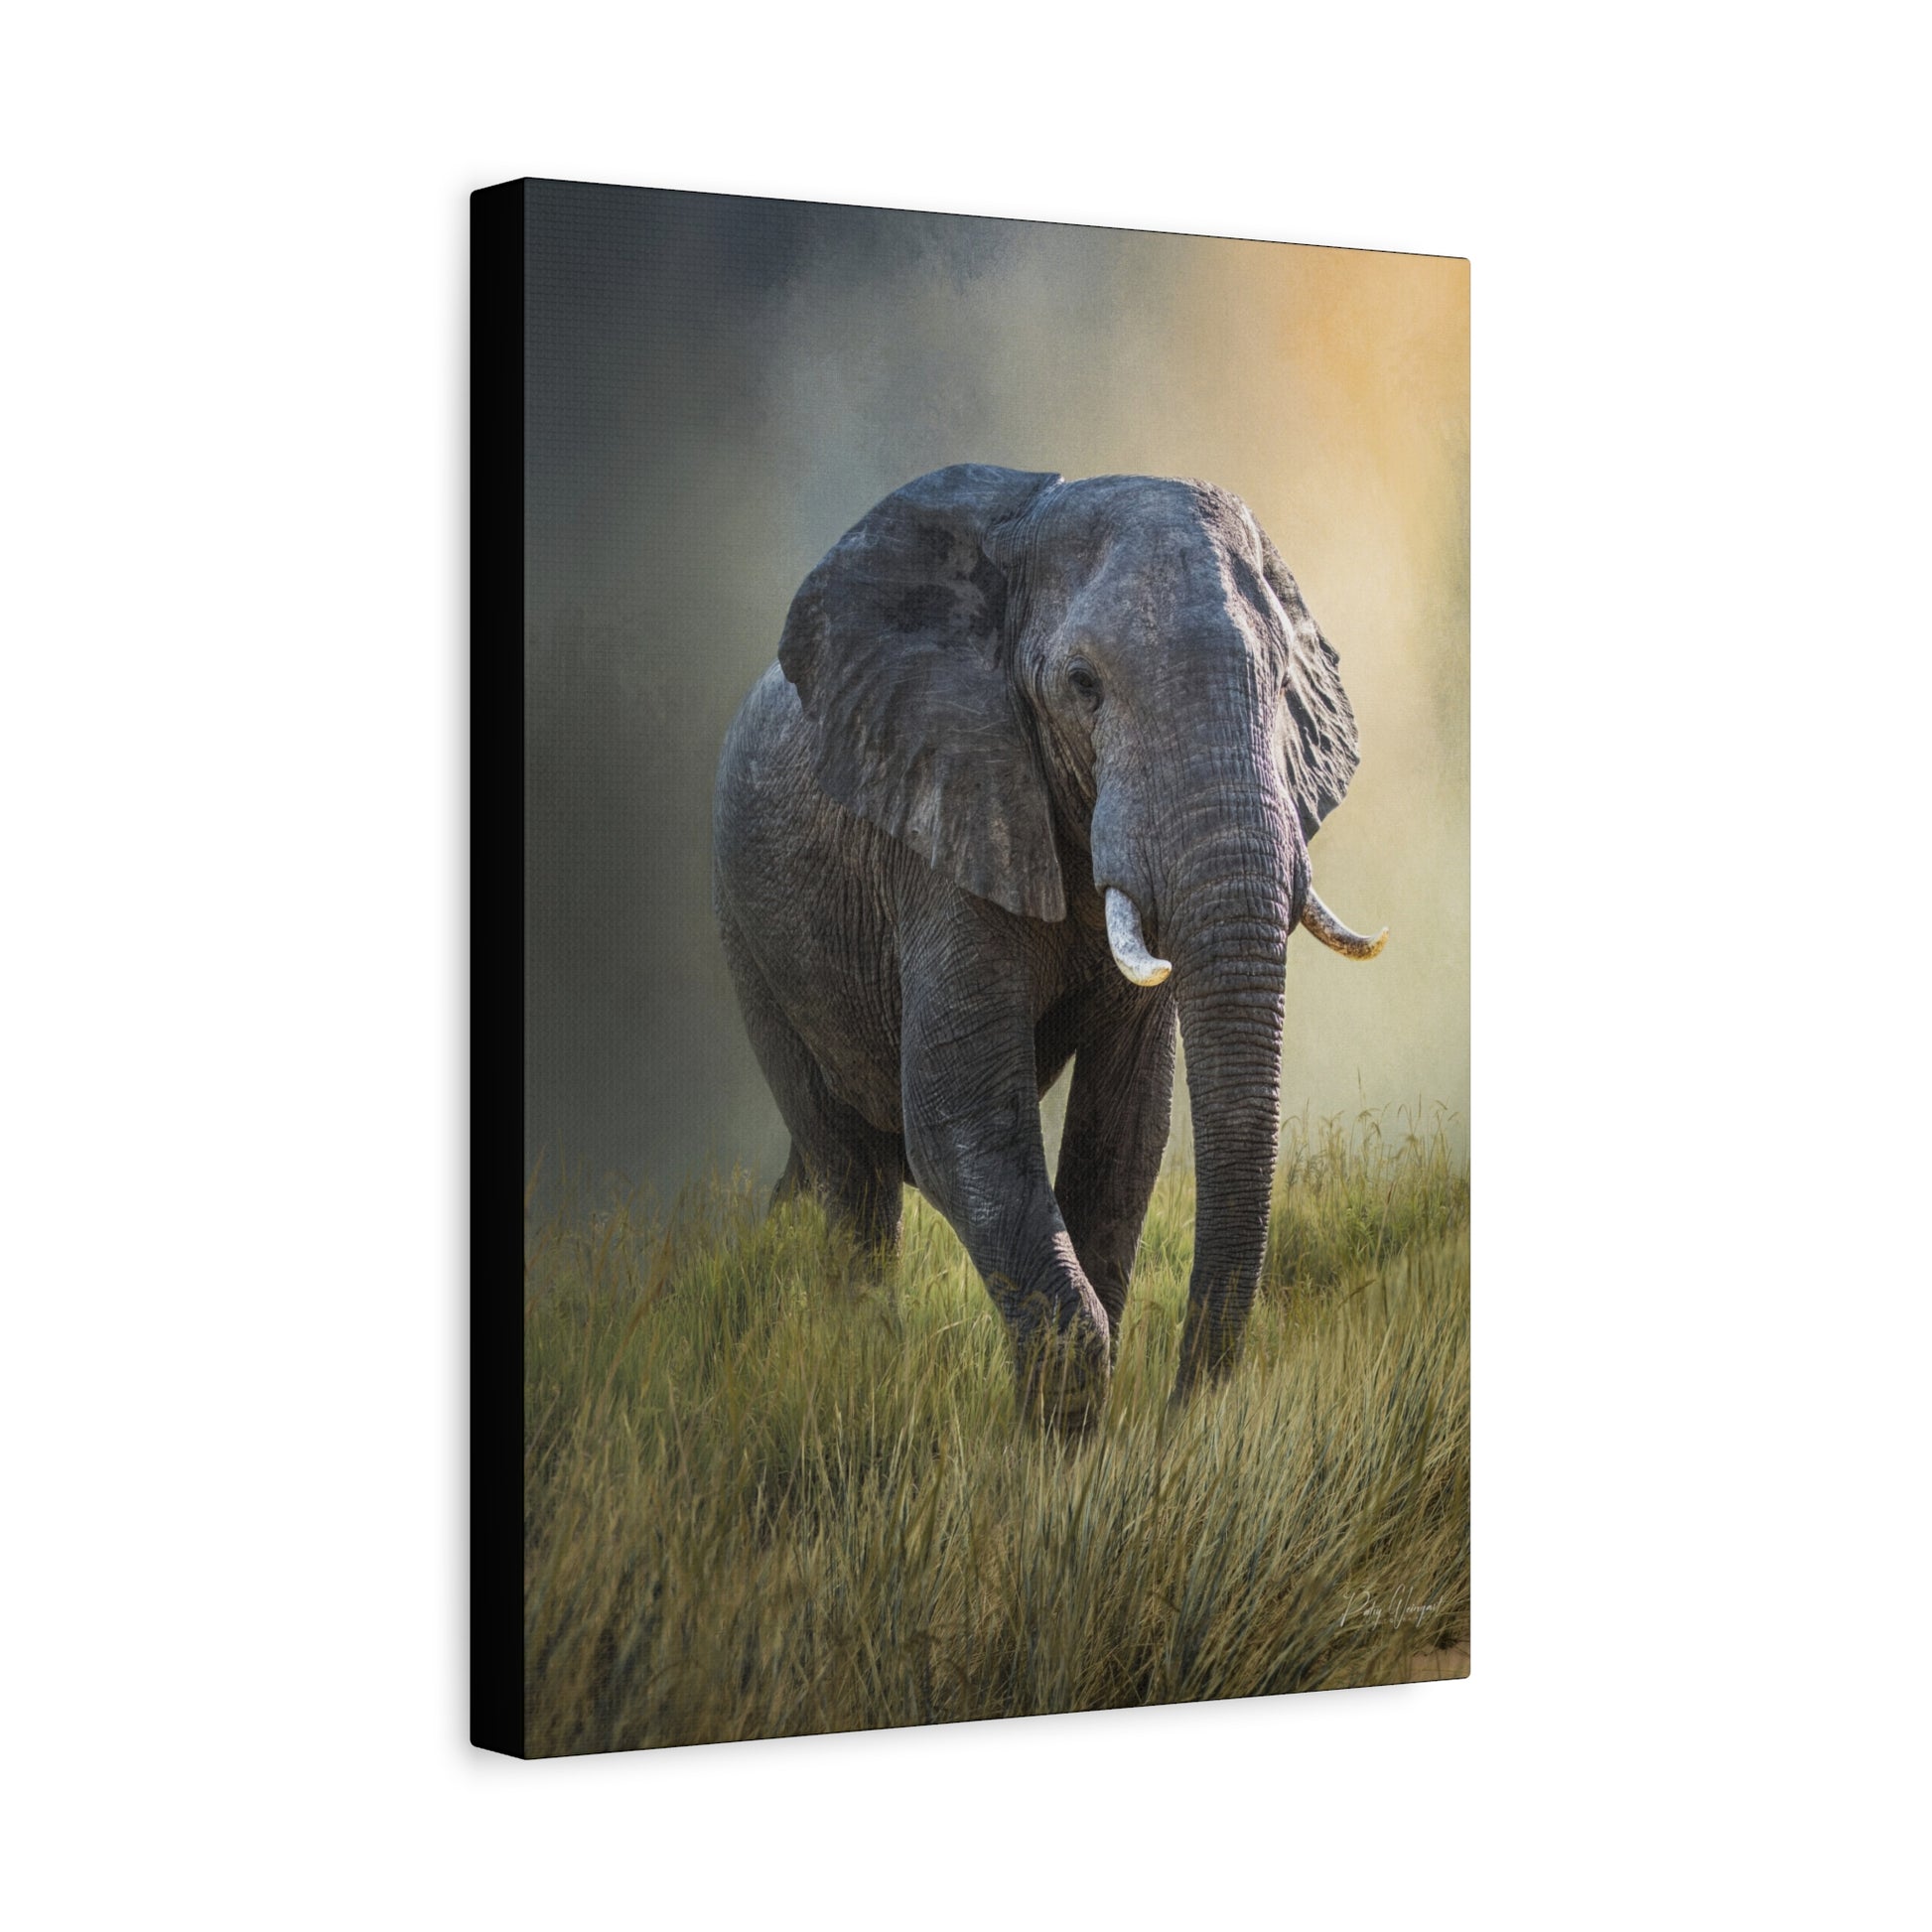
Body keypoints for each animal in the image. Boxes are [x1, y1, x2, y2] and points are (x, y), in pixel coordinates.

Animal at [713, 464, 1385, 1428]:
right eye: (1081, 684)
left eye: (1281, 677)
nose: (1181, 1409)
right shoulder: (944, 820)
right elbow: (960, 1120)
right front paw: (1058, 1436)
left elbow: (1127, 1128)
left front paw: (1081, 1442)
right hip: (747, 932)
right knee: (854, 1179)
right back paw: (864, 1366)